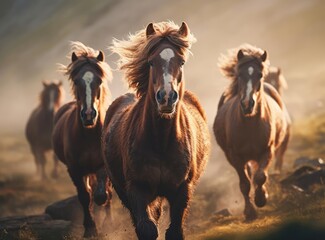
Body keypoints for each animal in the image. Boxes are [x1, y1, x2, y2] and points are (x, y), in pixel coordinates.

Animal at [52, 41, 112, 238]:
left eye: (99, 81)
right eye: (77, 81)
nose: (88, 115)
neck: (89, 136)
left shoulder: (102, 166)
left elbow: (102, 195)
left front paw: (105, 224)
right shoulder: (75, 170)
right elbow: (85, 196)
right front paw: (90, 228)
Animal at [102, 21, 211, 239]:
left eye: (182, 62)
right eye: (151, 62)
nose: (166, 97)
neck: (161, 142)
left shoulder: (182, 190)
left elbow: (174, 232)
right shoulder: (136, 189)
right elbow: (146, 229)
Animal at [213, 44, 288, 221]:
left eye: (260, 75)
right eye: (240, 75)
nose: (247, 104)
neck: (250, 126)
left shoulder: (268, 150)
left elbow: (260, 176)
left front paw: (261, 198)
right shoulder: (235, 156)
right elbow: (245, 184)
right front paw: (250, 212)